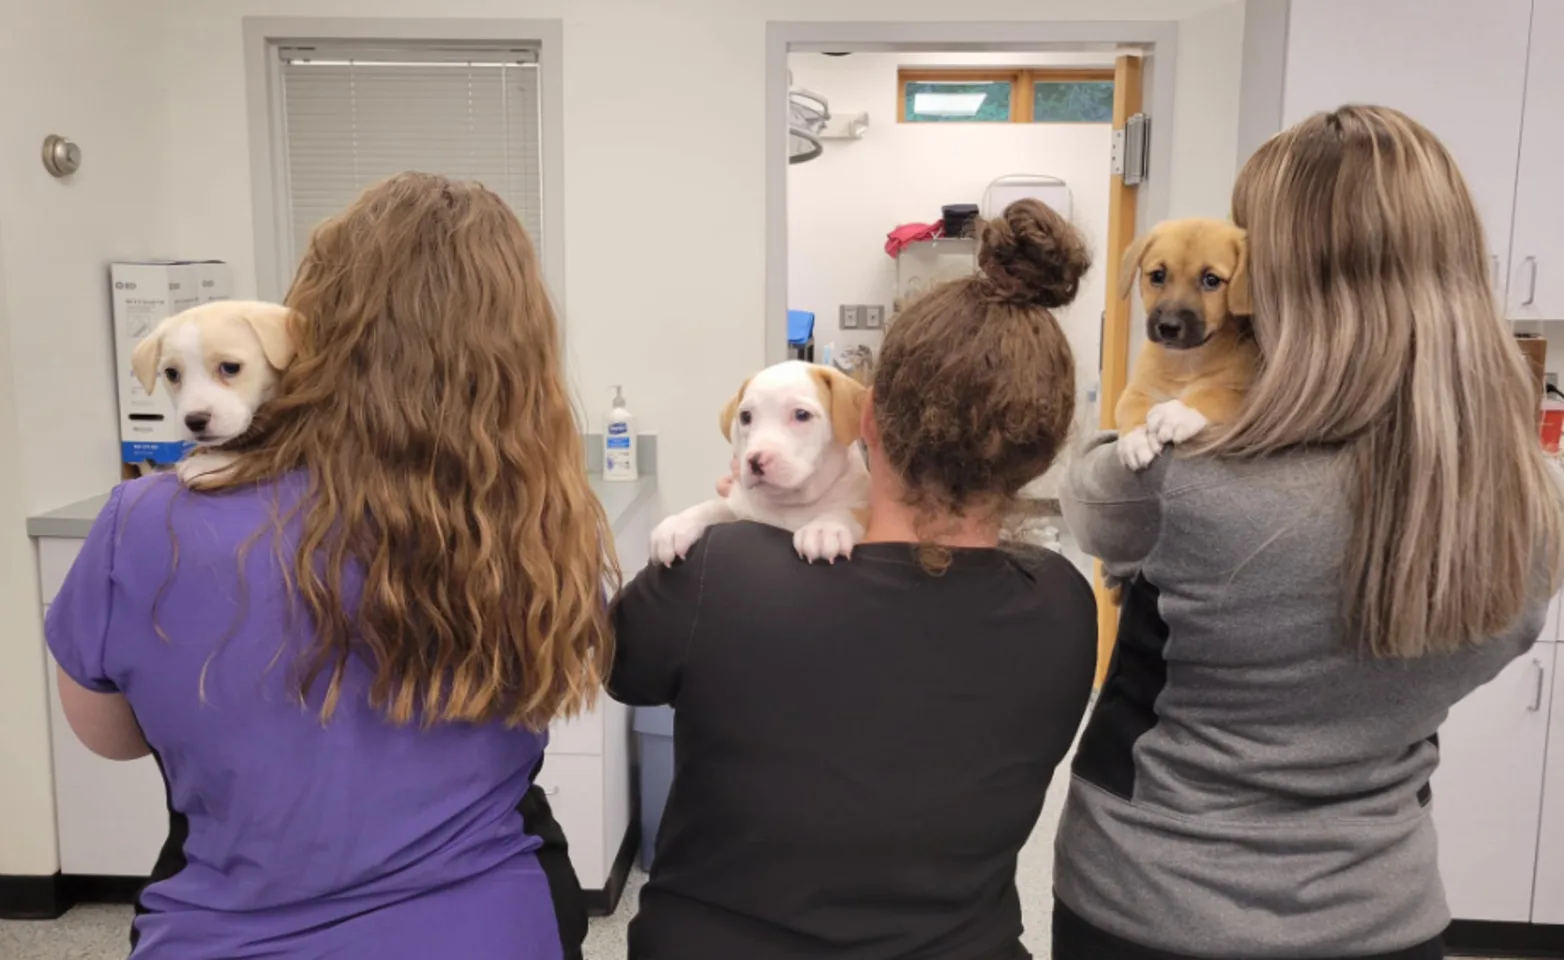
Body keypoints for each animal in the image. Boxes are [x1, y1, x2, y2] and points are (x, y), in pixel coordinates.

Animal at [647, 362, 869, 572]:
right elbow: (713, 506)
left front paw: (825, 528)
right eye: (745, 417)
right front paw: (677, 524)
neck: (789, 504)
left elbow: (848, 511)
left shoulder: (860, 501)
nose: (754, 460)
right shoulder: (737, 508)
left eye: (801, 414)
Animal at [1113, 218, 1257, 475]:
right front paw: (1135, 439)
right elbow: (1129, 406)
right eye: (1158, 275)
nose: (1168, 327)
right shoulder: (1138, 388)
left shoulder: (1245, 393)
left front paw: (1177, 412)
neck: (1186, 361)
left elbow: (1215, 394)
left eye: (1211, 280)